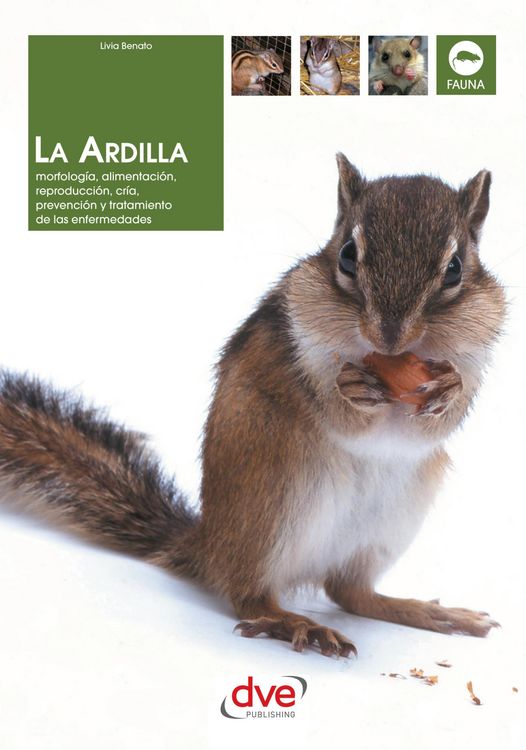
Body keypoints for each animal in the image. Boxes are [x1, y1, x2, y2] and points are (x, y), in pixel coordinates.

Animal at [0, 155, 505, 658]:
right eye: (347, 255)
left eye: (455, 269)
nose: (390, 337)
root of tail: (208, 546)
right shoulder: (300, 346)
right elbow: (337, 411)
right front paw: (350, 388)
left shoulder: (478, 355)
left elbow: (441, 419)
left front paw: (448, 389)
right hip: (274, 502)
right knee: (249, 595)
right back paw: (294, 622)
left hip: (387, 525)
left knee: (350, 592)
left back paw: (429, 612)